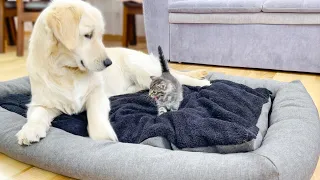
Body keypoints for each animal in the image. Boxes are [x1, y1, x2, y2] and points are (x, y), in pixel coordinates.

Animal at [16, 0, 210, 145]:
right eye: (88, 35)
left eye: (100, 35)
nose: (109, 63)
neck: (66, 71)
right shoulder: (41, 103)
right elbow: (37, 114)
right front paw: (29, 130)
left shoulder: (96, 94)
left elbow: (95, 114)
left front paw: (103, 136)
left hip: (140, 67)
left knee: (177, 78)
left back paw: (202, 82)